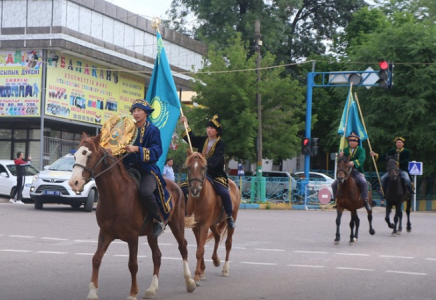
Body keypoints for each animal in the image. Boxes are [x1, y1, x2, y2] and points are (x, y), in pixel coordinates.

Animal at [67, 134, 195, 300]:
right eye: (75, 155)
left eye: (88, 155)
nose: (74, 183)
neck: (117, 197)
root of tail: (177, 186)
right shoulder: (105, 234)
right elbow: (96, 259)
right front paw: (93, 292)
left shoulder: (132, 237)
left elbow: (133, 265)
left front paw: (133, 293)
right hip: (151, 234)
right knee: (157, 256)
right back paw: (152, 288)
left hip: (177, 225)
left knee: (183, 247)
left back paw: (189, 281)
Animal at [185, 151, 242, 282]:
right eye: (189, 167)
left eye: (203, 167)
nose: (195, 190)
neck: (199, 199)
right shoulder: (196, 226)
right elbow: (199, 247)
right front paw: (202, 271)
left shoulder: (204, 225)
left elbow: (200, 250)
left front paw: (197, 275)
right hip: (213, 223)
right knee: (217, 236)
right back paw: (216, 260)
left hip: (231, 219)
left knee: (228, 243)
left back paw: (225, 269)